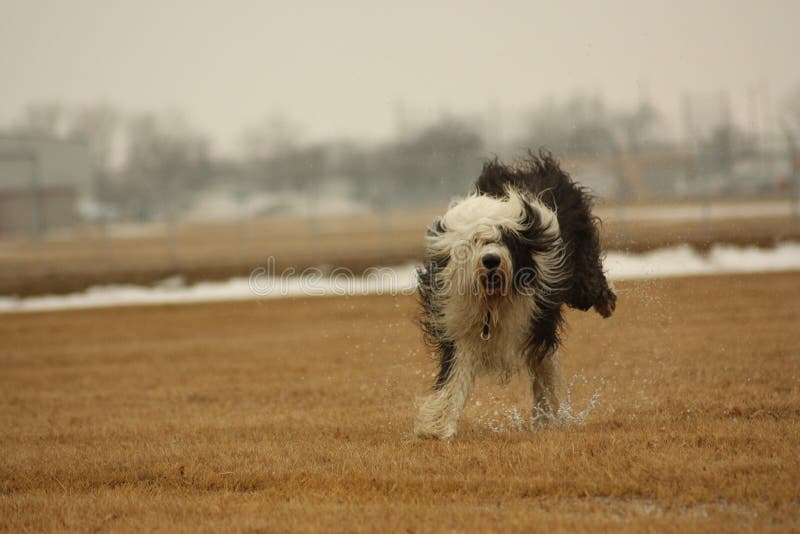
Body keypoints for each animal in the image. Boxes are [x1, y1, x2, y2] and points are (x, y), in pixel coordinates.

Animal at [416, 153, 616, 442]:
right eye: (475, 241)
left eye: (506, 240)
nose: (491, 260)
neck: (494, 302)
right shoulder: (459, 325)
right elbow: (455, 376)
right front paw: (436, 427)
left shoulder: (535, 320)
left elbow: (544, 370)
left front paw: (546, 418)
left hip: (579, 271)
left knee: (589, 283)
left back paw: (606, 302)